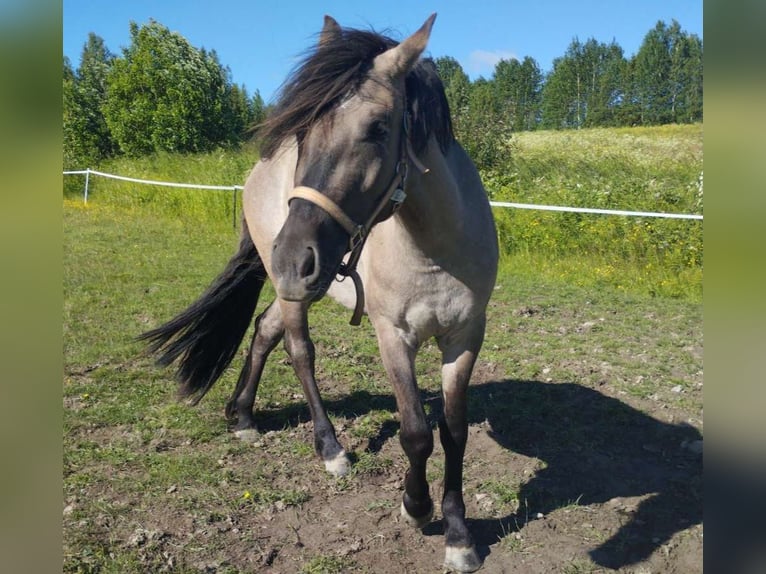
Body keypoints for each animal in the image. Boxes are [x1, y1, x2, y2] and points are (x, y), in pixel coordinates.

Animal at [141, 15, 500, 572]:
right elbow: (416, 431)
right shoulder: (392, 337)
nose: (291, 256)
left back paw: (243, 416)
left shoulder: (465, 337)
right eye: (305, 130)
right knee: (298, 349)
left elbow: (454, 431)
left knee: (264, 331)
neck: (436, 251)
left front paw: (460, 536)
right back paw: (330, 448)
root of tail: (256, 176)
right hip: (298, 293)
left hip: (305, 287)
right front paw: (415, 507)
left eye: (378, 129)